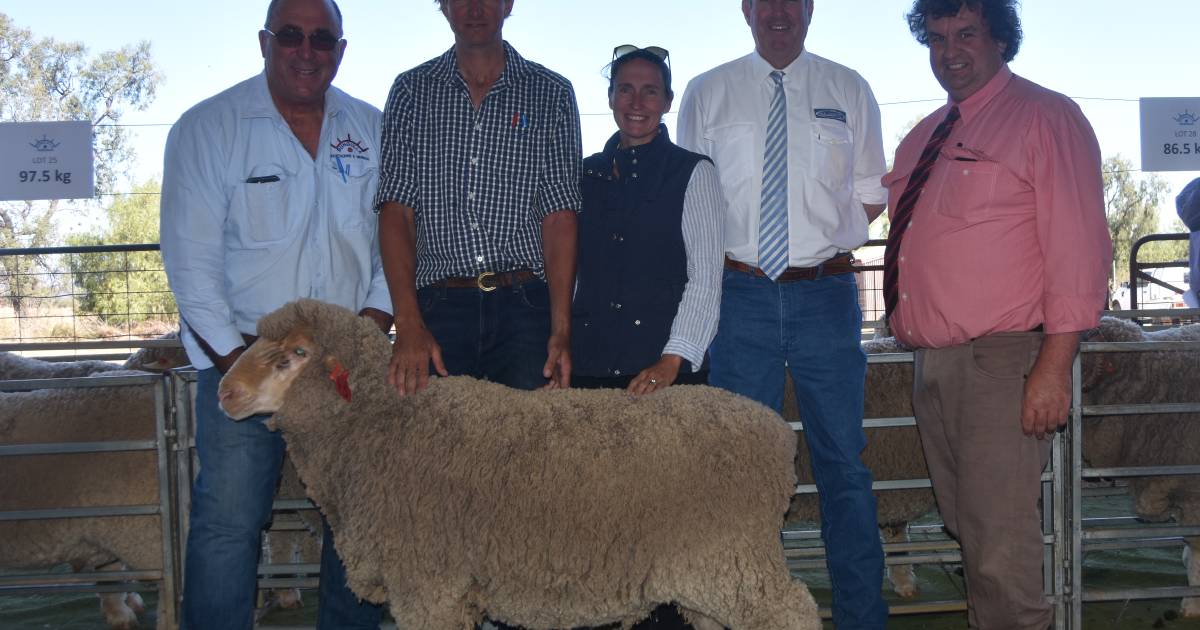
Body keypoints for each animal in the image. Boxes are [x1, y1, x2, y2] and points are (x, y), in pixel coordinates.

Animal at [216, 298, 820, 628]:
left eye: (296, 355)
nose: (224, 390)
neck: (378, 426)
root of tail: (775, 431)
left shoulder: (429, 586)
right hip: (714, 575)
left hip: (734, 562)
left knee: (793, 612)